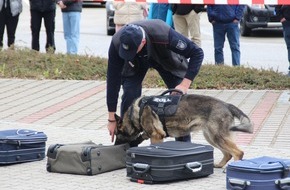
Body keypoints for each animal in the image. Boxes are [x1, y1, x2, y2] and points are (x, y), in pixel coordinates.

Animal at [114, 92, 253, 168]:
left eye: (116, 134)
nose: (114, 145)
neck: (134, 114)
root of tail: (226, 104)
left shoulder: (156, 136)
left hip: (217, 137)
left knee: (238, 152)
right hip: (211, 137)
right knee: (228, 154)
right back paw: (219, 165)